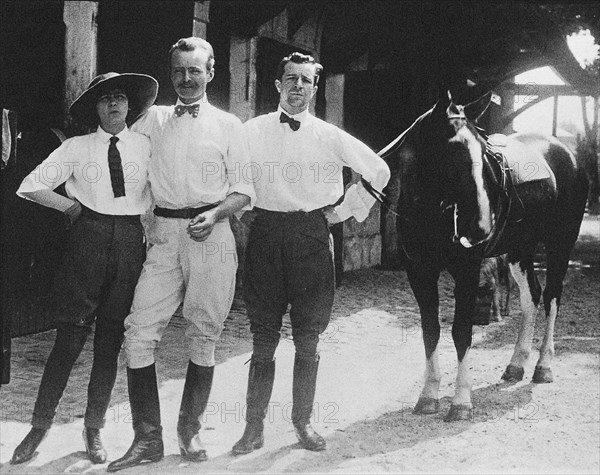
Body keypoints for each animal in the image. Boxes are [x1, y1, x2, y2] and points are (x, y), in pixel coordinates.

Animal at [380, 91, 584, 422]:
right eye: (453, 155)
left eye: (483, 156)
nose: (481, 228)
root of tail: (568, 153)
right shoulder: (419, 271)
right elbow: (430, 331)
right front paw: (428, 396)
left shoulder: (467, 269)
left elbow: (461, 332)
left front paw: (461, 403)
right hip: (519, 249)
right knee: (532, 296)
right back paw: (515, 365)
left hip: (560, 244)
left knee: (552, 296)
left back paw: (543, 366)